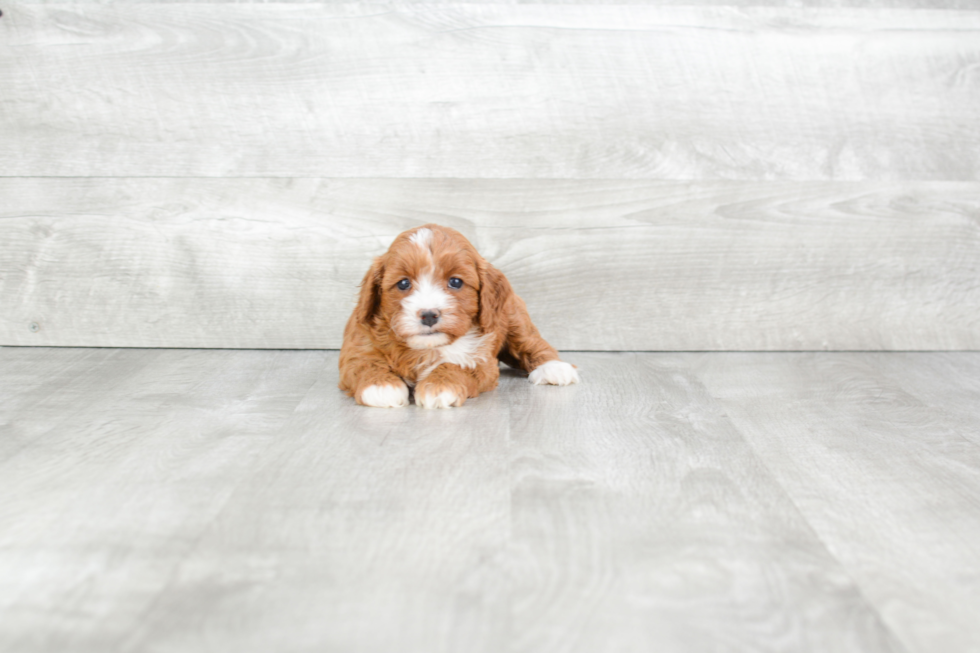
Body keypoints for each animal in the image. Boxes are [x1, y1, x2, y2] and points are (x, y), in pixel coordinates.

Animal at [340, 224, 580, 408]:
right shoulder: (359, 346)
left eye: (455, 282)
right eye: (403, 283)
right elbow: (364, 365)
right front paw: (381, 387)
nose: (429, 315)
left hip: (514, 318)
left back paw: (553, 368)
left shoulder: (481, 360)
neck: (426, 347)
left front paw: (439, 387)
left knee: (530, 342)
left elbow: (456, 365)